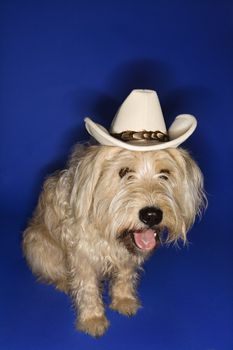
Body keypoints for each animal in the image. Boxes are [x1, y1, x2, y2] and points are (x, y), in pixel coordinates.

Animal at [21, 144, 204, 338]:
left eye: (165, 173)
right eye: (124, 172)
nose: (152, 215)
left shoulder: (128, 257)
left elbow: (125, 277)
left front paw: (124, 300)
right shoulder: (83, 258)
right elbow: (88, 289)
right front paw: (93, 319)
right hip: (38, 248)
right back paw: (64, 282)